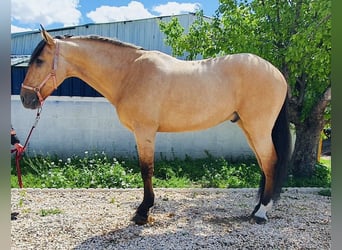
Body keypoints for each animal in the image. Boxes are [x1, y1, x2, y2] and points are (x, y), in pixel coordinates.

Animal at [20, 26, 290, 225]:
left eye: (40, 61)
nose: (25, 99)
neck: (130, 73)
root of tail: (277, 73)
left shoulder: (145, 131)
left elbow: (146, 170)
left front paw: (143, 211)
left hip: (257, 128)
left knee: (270, 162)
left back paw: (261, 213)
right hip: (248, 128)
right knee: (264, 165)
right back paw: (256, 209)